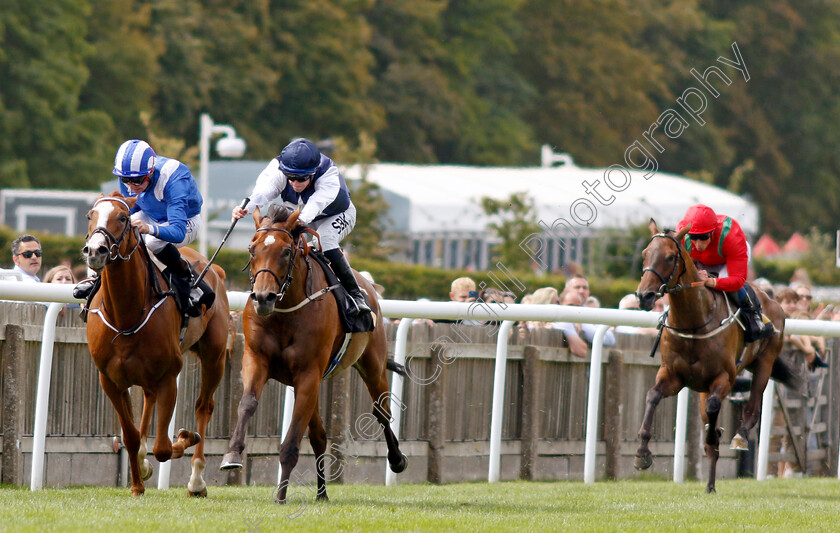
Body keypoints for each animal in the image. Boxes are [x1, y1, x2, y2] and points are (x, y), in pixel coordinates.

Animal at [81, 193, 230, 496]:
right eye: (90, 215)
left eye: (123, 217)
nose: (95, 251)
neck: (126, 315)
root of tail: (215, 269)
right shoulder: (110, 380)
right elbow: (130, 436)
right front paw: (137, 484)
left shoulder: (169, 376)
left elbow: (164, 447)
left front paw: (185, 436)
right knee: (149, 401)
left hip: (215, 356)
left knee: (203, 407)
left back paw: (197, 480)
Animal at [220, 204, 406, 502]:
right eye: (251, 249)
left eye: (286, 251)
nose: (263, 298)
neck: (285, 311)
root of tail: (370, 287)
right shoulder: (256, 360)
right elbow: (247, 403)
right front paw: (232, 454)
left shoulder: (308, 374)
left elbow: (293, 439)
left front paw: (281, 495)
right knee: (320, 435)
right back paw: (321, 493)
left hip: (372, 364)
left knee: (381, 412)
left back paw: (397, 460)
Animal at [632, 218, 796, 492]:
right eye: (645, 254)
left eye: (669, 257)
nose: (644, 296)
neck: (693, 321)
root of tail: (773, 300)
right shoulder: (673, 375)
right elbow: (652, 396)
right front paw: (642, 453)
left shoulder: (724, 378)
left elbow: (714, 408)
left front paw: (715, 435)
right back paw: (709, 484)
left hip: (765, 362)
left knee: (752, 408)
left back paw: (739, 437)